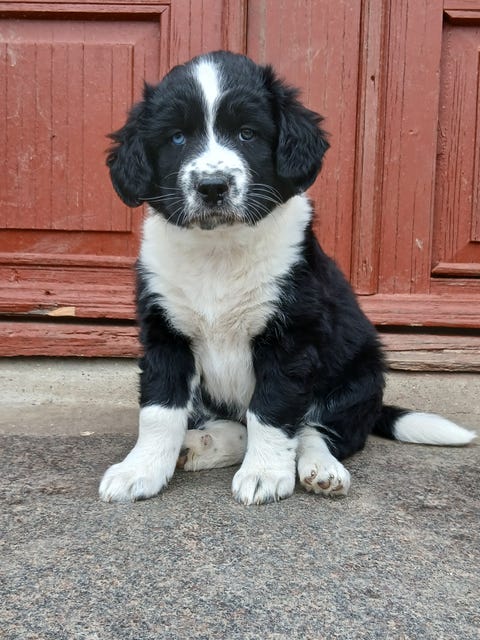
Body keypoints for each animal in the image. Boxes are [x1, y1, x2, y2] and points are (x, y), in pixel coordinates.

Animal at [99, 51, 475, 505]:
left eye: (247, 134)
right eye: (176, 138)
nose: (212, 186)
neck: (220, 250)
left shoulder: (292, 336)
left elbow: (273, 410)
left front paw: (264, 473)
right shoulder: (164, 332)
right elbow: (159, 412)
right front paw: (140, 470)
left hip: (360, 375)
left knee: (318, 429)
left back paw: (320, 468)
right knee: (238, 425)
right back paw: (201, 444)